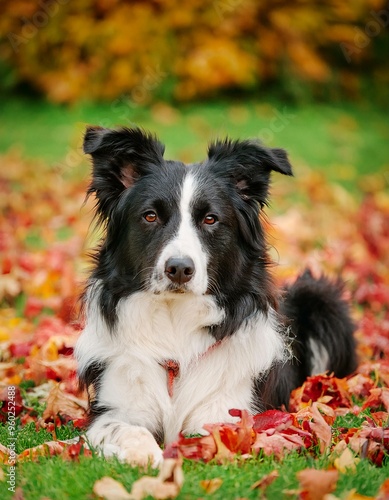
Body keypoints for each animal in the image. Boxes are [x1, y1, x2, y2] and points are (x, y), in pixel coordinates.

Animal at [74, 127, 356, 466]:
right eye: (150, 216)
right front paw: (146, 455)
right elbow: (125, 429)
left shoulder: (228, 413)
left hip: (320, 298)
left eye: (210, 219)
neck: (175, 323)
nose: (179, 269)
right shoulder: (114, 407)